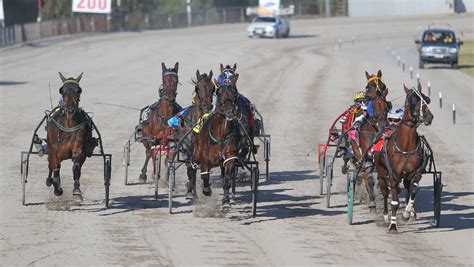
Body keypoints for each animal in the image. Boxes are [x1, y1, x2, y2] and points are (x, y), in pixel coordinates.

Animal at [45, 72, 96, 202]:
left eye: (79, 90)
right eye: (61, 90)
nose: (70, 110)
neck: (68, 125)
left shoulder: (79, 148)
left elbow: (76, 167)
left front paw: (77, 191)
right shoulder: (54, 149)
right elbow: (55, 166)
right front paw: (57, 188)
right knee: (50, 164)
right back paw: (49, 181)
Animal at [169, 70, 216, 200]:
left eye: (213, 88)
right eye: (197, 87)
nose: (206, 106)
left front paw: (206, 188)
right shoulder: (188, 148)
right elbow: (190, 169)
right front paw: (190, 190)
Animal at [192, 74, 241, 204]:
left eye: (235, 92)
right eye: (219, 92)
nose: (229, 110)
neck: (221, 134)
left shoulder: (229, 156)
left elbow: (227, 178)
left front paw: (226, 199)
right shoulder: (204, 160)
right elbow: (204, 176)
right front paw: (206, 191)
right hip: (196, 154)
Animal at [374, 84, 434, 234]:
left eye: (426, 99)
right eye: (412, 100)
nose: (429, 117)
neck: (405, 147)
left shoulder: (416, 173)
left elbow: (413, 190)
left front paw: (407, 213)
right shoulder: (393, 175)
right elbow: (394, 201)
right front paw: (393, 225)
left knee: (407, 188)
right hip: (381, 172)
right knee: (385, 192)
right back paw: (385, 216)